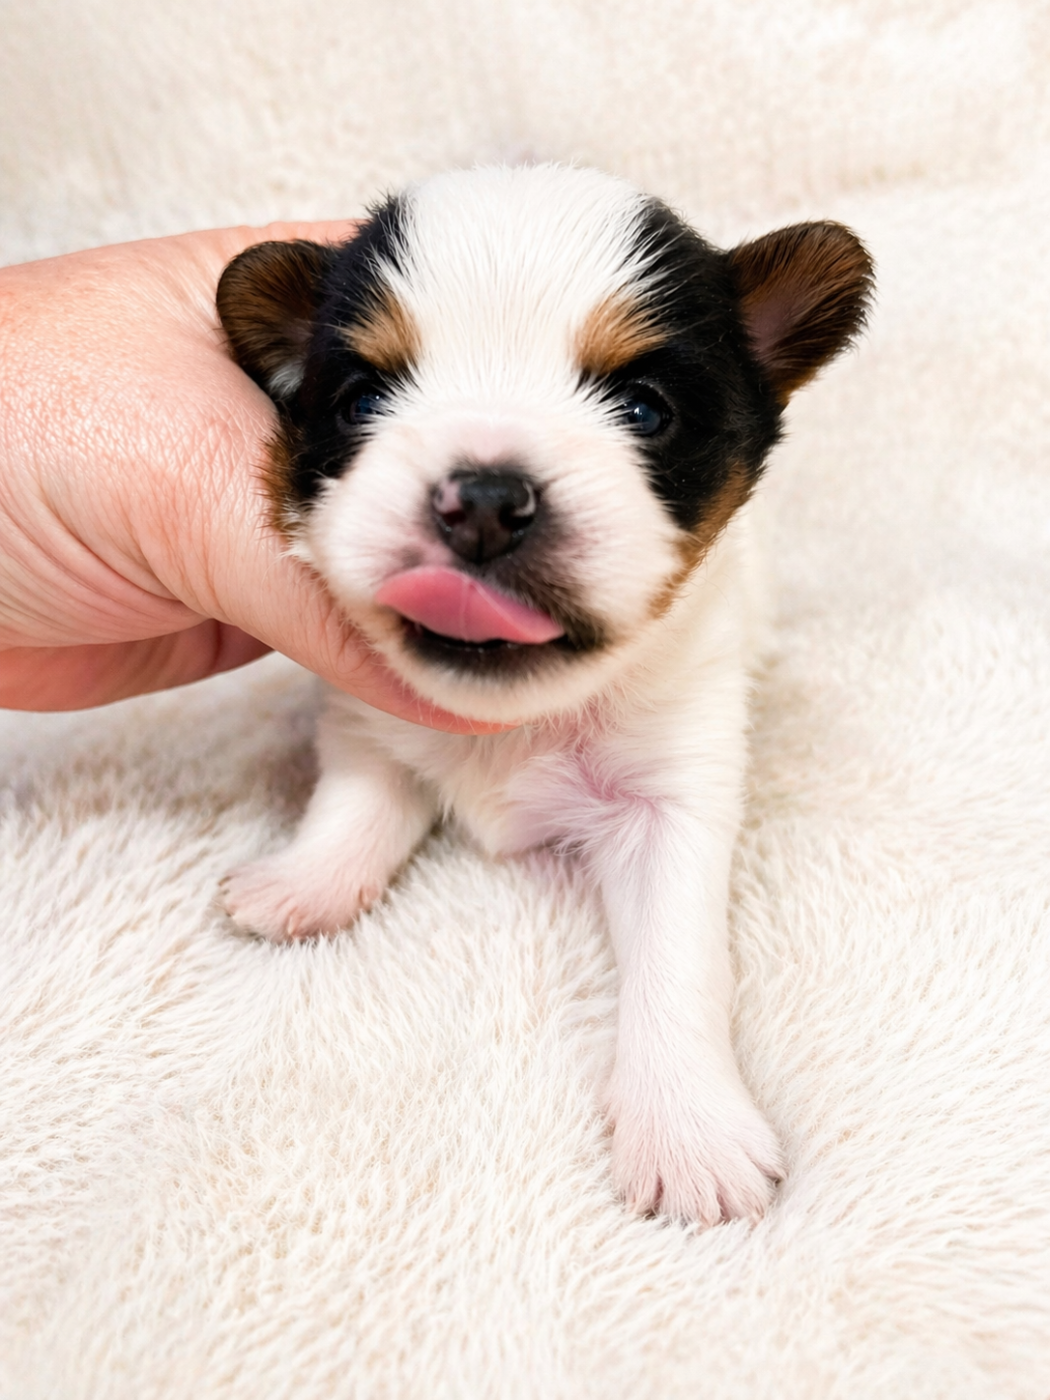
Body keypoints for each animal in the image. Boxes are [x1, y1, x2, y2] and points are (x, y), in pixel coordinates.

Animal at [216, 164, 872, 1226]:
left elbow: (677, 963)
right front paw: (305, 881)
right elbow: (357, 797)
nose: (484, 500)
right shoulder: (366, 714)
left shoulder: (674, 795)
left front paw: (688, 1131)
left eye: (643, 410)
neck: (510, 722)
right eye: (363, 399)